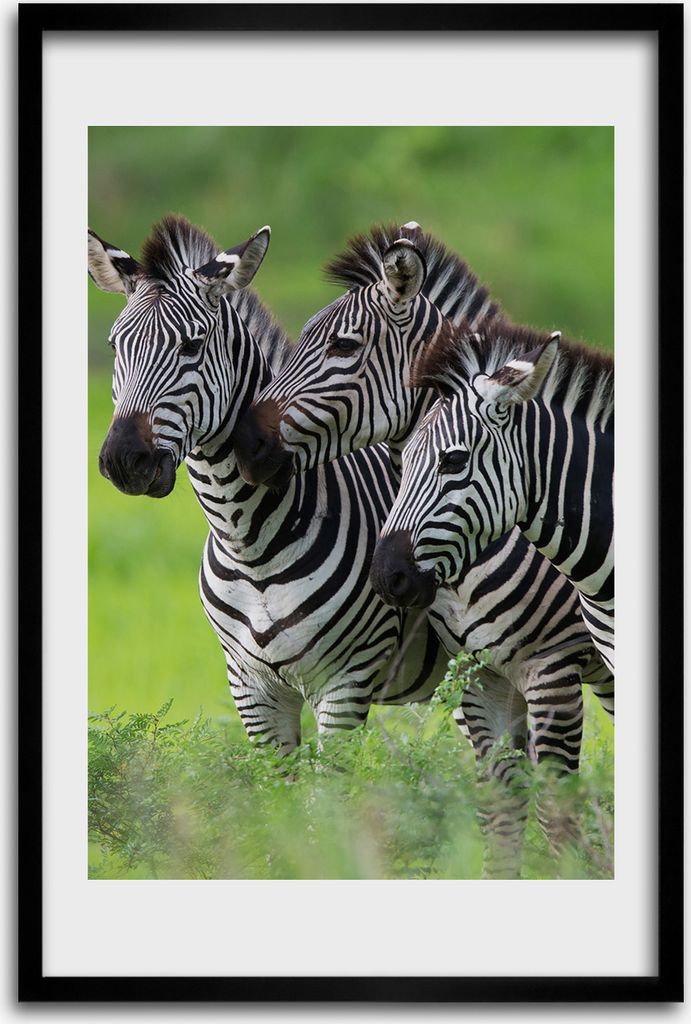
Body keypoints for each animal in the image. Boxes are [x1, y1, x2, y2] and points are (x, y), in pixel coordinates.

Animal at [89, 214, 450, 755]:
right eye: (115, 346)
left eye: (192, 346)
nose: (122, 460)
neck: (246, 541)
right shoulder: (251, 689)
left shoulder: (345, 683)